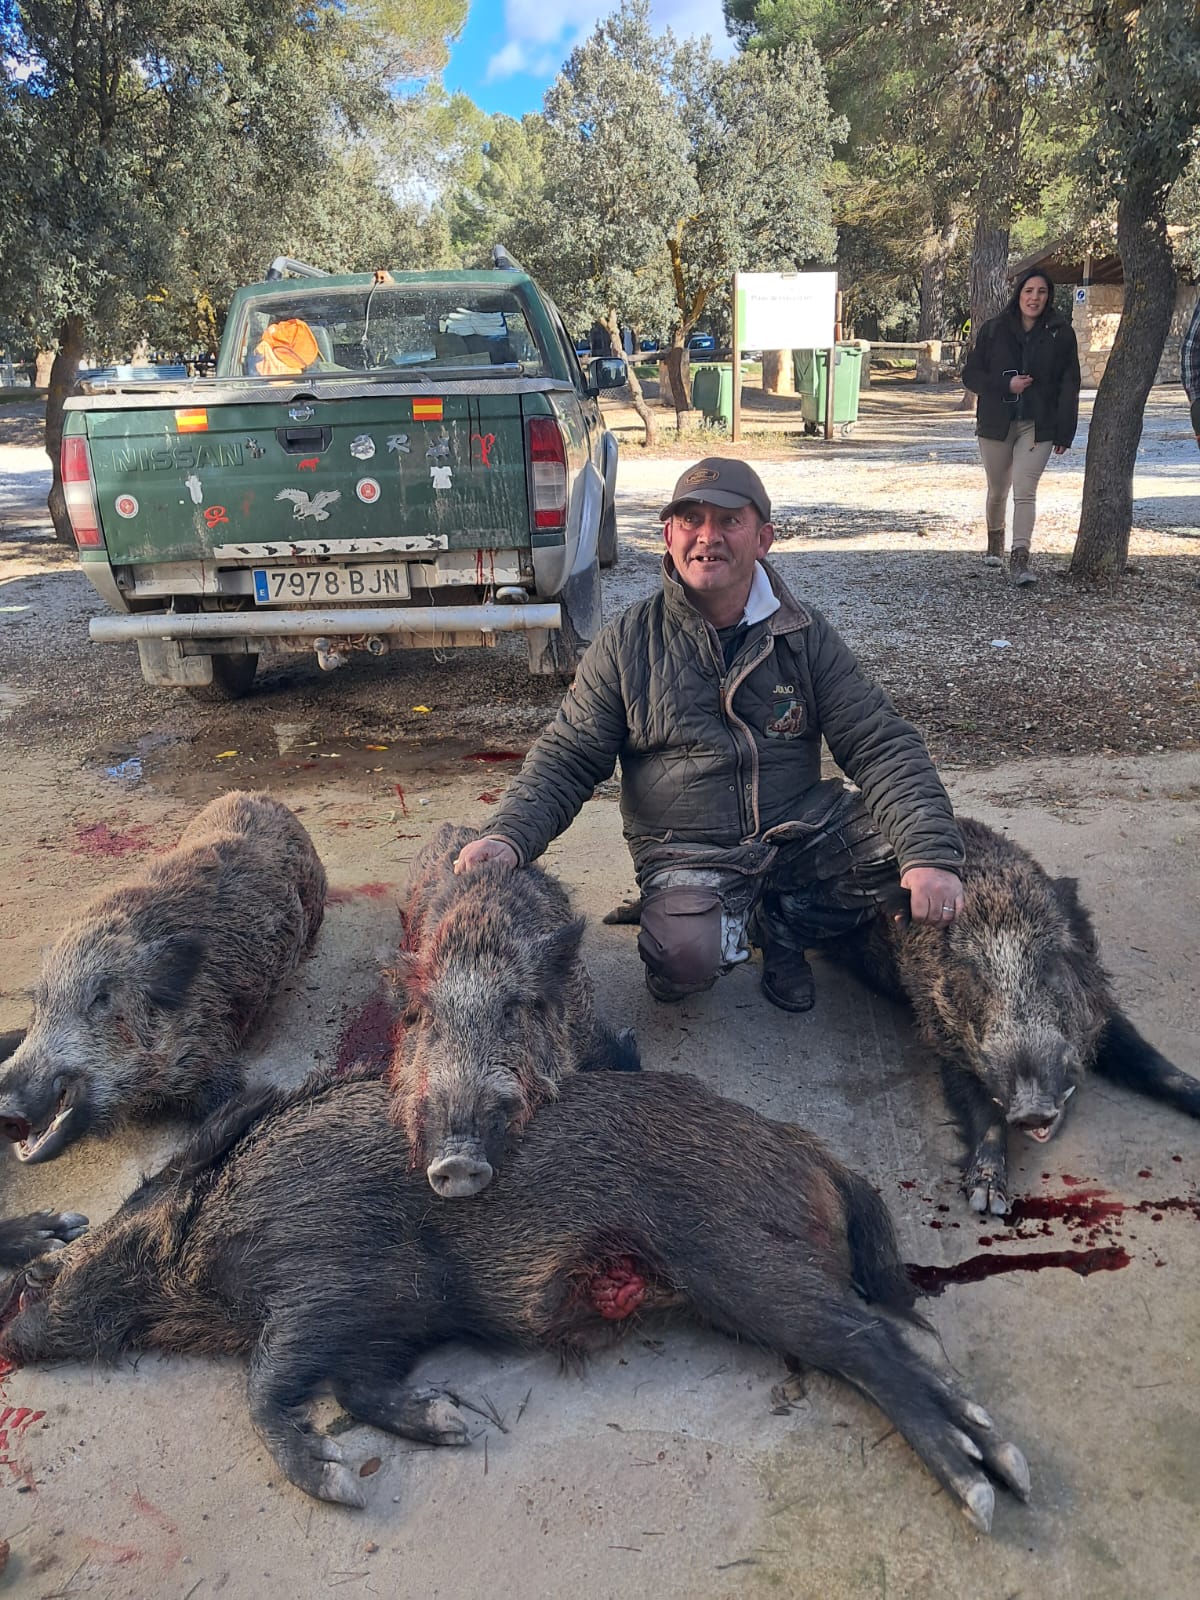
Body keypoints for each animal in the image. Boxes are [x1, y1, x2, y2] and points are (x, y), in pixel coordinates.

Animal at [0, 1068, 1030, 1534]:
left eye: (44, 1274)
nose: (14, 1329)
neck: (208, 1242)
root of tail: (821, 1158)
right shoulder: (389, 1319)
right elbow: (361, 1388)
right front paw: (454, 1424)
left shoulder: (328, 1278)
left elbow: (267, 1389)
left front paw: (345, 1484)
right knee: (905, 1340)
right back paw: (1005, 1467)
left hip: (741, 1261)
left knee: (868, 1345)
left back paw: (988, 1492)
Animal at [827, 817, 1199, 1215]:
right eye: (974, 975)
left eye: (1048, 962)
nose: (1031, 1108)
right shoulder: (943, 1035)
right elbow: (979, 1107)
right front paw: (988, 1201)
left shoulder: (1099, 1007)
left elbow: (1153, 1062)